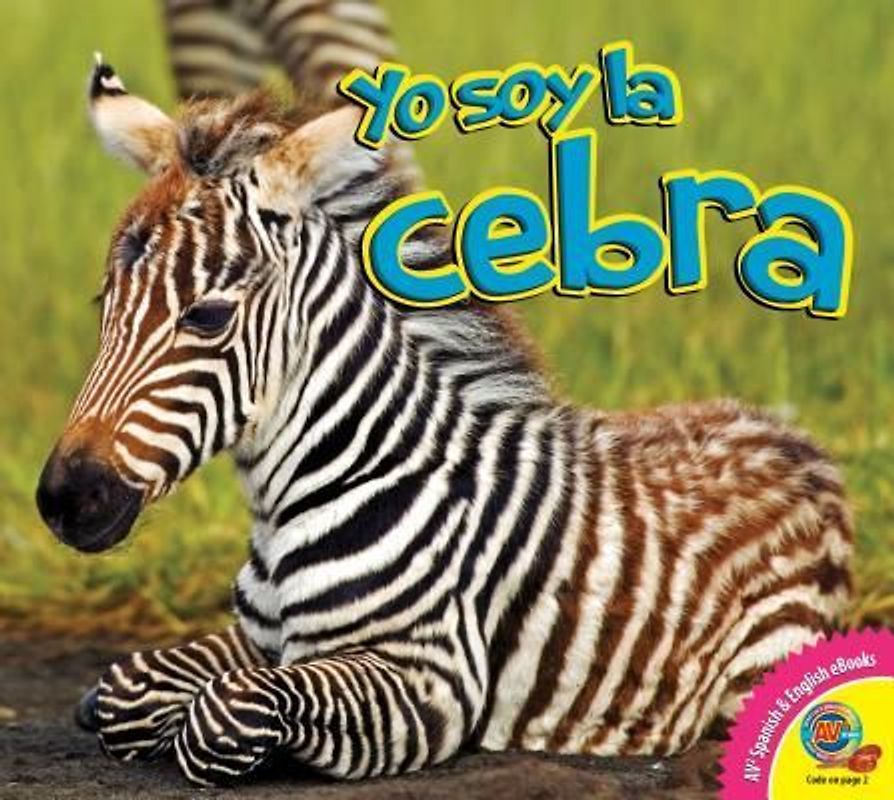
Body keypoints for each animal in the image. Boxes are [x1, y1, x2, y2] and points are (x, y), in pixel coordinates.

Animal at [34, 55, 853, 787]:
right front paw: (119, 703)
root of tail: (786, 435)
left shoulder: (433, 676)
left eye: (206, 317)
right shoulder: (257, 639)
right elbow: (129, 687)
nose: (65, 500)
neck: (318, 486)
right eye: (104, 306)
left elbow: (221, 717)